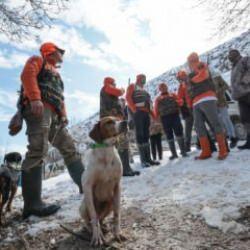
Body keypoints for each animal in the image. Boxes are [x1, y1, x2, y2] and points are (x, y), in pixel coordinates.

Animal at [79, 117, 127, 246]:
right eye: (109, 122)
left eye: (119, 118)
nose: (125, 122)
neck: (106, 152)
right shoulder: (87, 186)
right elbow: (94, 218)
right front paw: (97, 237)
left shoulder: (117, 186)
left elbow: (117, 214)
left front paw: (117, 233)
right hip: (83, 206)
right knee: (90, 221)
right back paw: (92, 230)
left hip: (109, 202)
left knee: (101, 218)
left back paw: (104, 226)